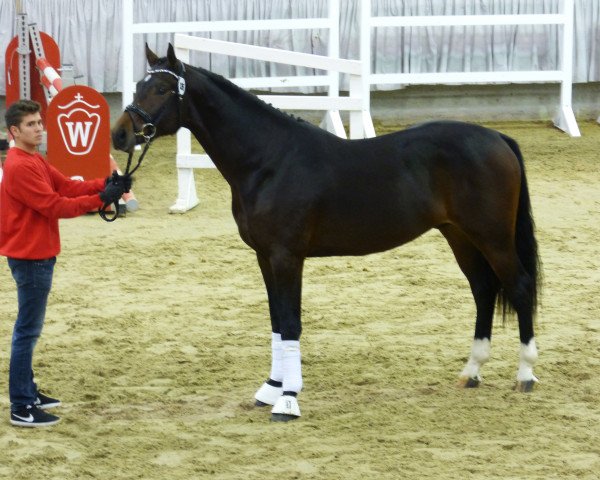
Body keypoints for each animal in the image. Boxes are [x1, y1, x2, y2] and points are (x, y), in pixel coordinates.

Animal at [110, 44, 540, 420]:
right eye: (138, 86)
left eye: (162, 89)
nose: (120, 135)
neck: (270, 160)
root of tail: (497, 138)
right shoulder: (264, 256)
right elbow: (276, 322)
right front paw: (270, 389)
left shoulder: (287, 256)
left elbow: (291, 322)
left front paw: (288, 400)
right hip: (459, 236)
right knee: (483, 290)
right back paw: (471, 372)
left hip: (492, 237)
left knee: (518, 286)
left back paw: (525, 375)